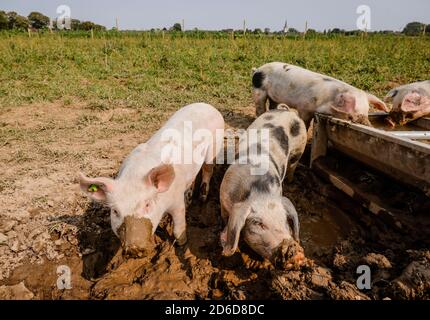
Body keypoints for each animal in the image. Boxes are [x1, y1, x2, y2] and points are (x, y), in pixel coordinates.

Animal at [79, 102, 225, 258]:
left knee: (208, 170)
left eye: (147, 204)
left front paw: (181, 245)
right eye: (115, 211)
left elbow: (178, 228)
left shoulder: (176, 202)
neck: (134, 177)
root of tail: (207, 105)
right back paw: (189, 199)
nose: (134, 248)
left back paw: (202, 198)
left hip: (214, 146)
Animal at [220, 105, 308, 262]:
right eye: (257, 223)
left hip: (299, 150)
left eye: (285, 220)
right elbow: (225, 220)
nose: (292, 248)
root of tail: (288, 111)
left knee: (293, 165)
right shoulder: (223, 199)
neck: (259, 190)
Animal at [252, 62, 390, 127]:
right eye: (350, 116)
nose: (368, 124)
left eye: (367, 111)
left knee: (272, 105)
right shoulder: (304, 107)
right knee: (259, 107)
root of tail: (257, 69)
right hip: (259, 91)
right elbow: (305, 122)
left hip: (273, 96)